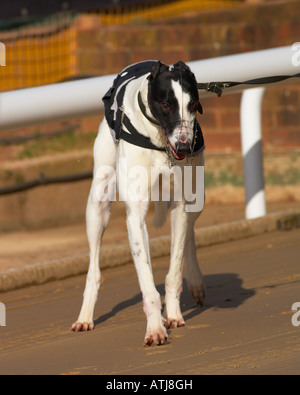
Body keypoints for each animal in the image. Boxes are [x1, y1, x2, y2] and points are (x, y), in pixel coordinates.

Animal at [71, 59, 205, 346]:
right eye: (165, 105)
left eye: (192, 104)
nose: (184, 147)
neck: (158, 141)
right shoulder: (135, 217)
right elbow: (147, 282)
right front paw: (155, 328)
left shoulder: (180, 206)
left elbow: (174, 269)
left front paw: (173, 315)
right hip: (97, 206)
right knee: (94, 270)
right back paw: (85, 317)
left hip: (197, 199)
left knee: (189, 236)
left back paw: (196, 282)